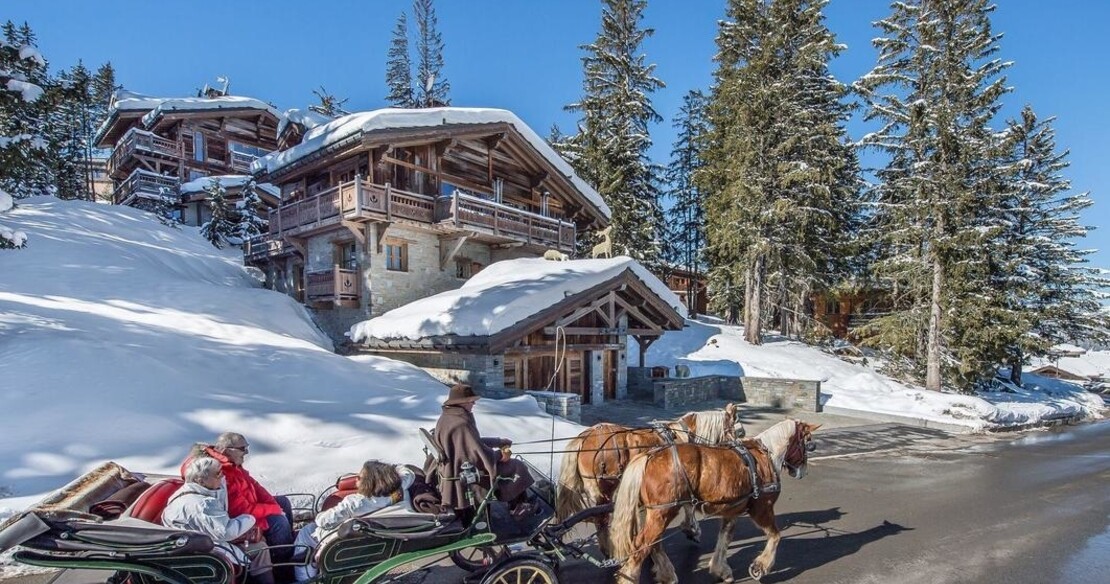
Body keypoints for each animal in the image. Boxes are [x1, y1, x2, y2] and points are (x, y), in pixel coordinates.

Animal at [555, 404, 745, 559]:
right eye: (734, 431)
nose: (738, 450)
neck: (681, 436)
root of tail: (583, 438)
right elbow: (688, 506)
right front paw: (692, 530)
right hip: (604, 488)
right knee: (600, 519)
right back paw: (609, 551)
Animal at [608, 419, 816, 581]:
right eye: (808, 443)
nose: (803, 472)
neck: (767, 456)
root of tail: (648, 455)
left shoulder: (732, 510)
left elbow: (725, 538)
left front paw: (720, 570)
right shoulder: (762, 509)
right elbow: (775, 536)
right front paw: (760, 567)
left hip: (654, 512)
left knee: (654, 543)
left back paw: (666, 574)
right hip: (663, 511)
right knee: (642, 545)